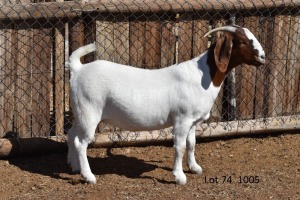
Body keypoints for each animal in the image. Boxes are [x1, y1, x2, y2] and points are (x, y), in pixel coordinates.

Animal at [67, 25, 264, 184]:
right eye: (242, 41)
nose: (262, 57)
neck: (202, 75)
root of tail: (79, 69)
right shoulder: (182, 119)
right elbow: (180, 146)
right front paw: (179, 177)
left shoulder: (193, 122)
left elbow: (192, 143)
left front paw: (194, 168)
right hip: (89, 112)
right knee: (81, 143)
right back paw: (89, 176)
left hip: (79, 113)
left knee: (71, 135)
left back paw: (74, 167)